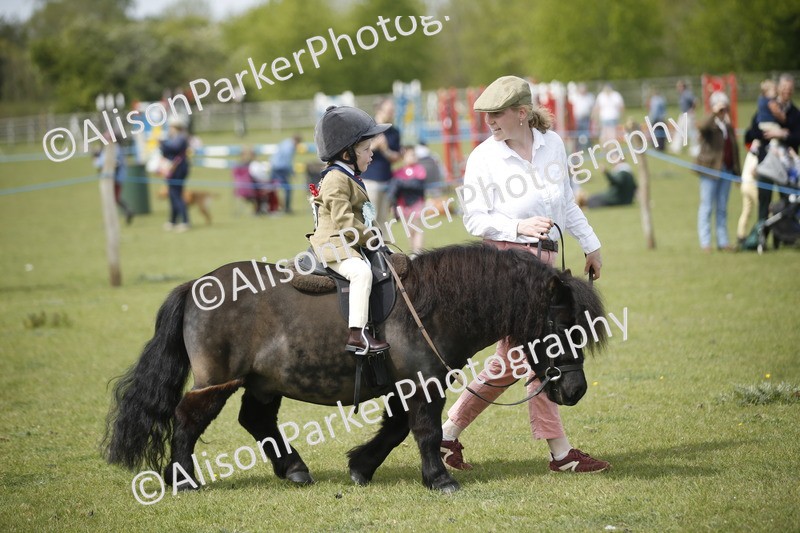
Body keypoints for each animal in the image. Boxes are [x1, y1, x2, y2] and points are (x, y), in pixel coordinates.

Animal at [103, 243, 607, 494]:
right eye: (559, 324)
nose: (575, 389)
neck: (432, 305)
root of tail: (195, 286)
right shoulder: (422, 383)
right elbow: (424, 430)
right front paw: (439, 479)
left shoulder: (406, 385)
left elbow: (397, 428)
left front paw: (362, 467)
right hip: (219, 380)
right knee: (188, 417)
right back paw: (183, 479)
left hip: (265, 381)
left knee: (256, 419)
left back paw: (293, 468)